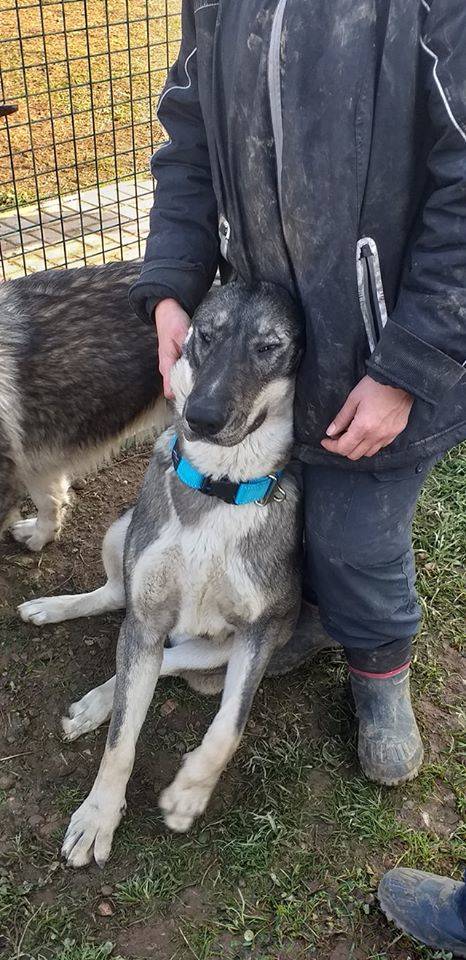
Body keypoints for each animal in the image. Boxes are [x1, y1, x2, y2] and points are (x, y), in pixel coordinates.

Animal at [20, 280, 308, 872]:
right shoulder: (148, 617)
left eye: (269, 347)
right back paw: (53, 614)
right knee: (115, 600)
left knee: (168, 661)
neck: (220, 486)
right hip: (122, 538)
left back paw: (95, 702)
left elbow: (228, 728)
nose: (200, 415)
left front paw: (187, 795)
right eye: (205, 335)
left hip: (215, 648)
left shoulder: (262, 631)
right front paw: (97, 818)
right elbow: (119, 745)